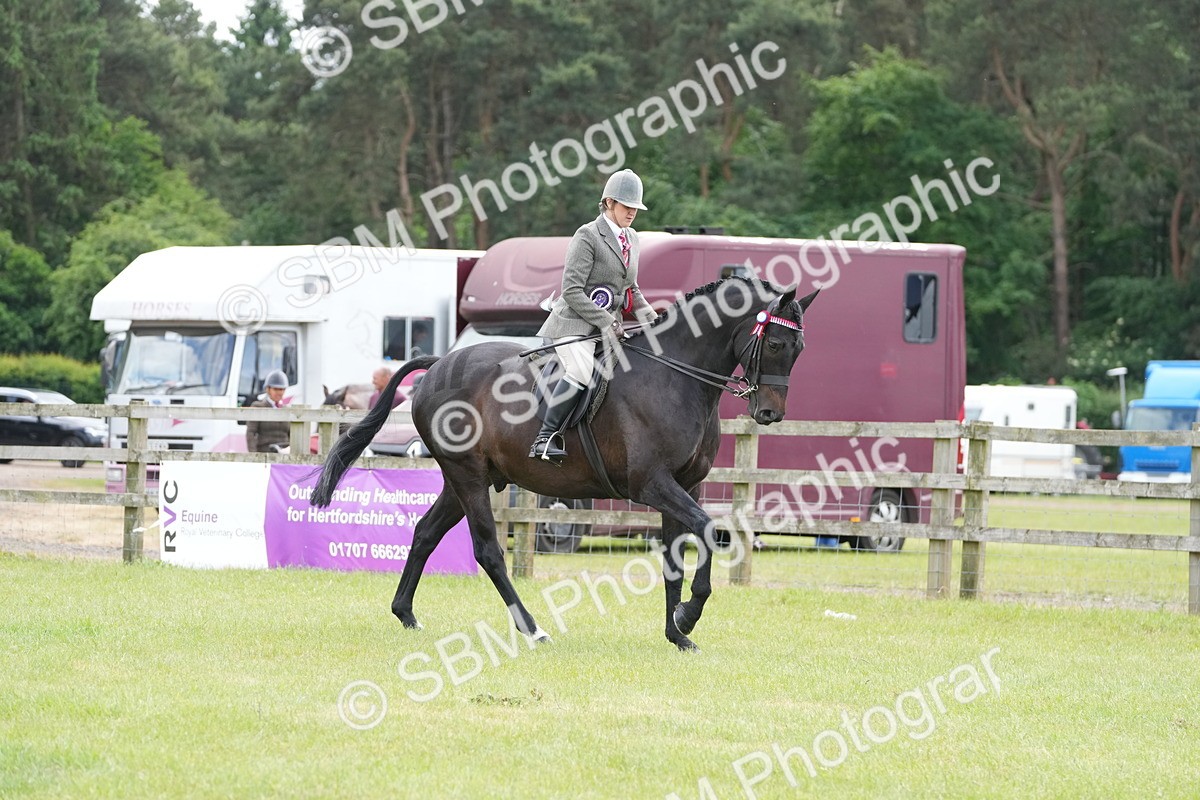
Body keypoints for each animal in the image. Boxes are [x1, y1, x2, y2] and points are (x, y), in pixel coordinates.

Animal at [311, 277, 817, 651]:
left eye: (799, 350)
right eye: (775, 344)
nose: (769, 414)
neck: (675, 376)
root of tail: (438, 366)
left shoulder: (684, 486)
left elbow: (676, 557)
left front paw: (677, 633)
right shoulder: (652, 485)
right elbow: (708, 531)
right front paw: (689, 616)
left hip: (465, 480)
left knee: (425, 533)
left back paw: (407, 615)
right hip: (467, 477)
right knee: (488, 551)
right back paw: (532, 629)